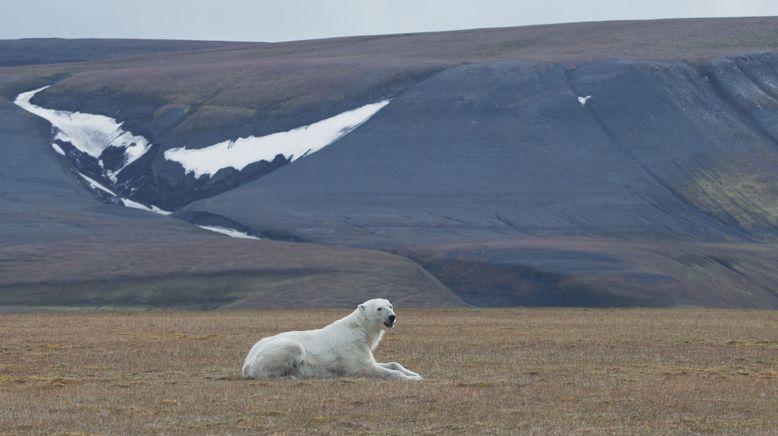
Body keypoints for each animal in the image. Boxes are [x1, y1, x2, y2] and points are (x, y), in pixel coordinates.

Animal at [242, 298, 422, 380]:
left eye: (390, 305)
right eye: (379, 308)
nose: (392, 317)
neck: (359, 329)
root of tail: (246, 363)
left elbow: (390, 363)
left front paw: (415, 373)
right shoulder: (352, 351)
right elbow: (368, 368)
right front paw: (411, 379)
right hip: (277, 351)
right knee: (294, 349)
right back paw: (291, 375)